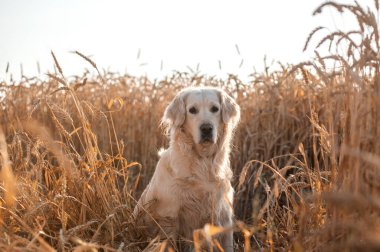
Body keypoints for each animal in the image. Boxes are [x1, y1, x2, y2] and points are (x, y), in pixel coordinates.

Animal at [134, 86, 240, 250]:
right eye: (192, 110)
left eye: (215, 109)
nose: (206, 128)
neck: (202, 162)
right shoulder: (169, 217)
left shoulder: (223, 215)